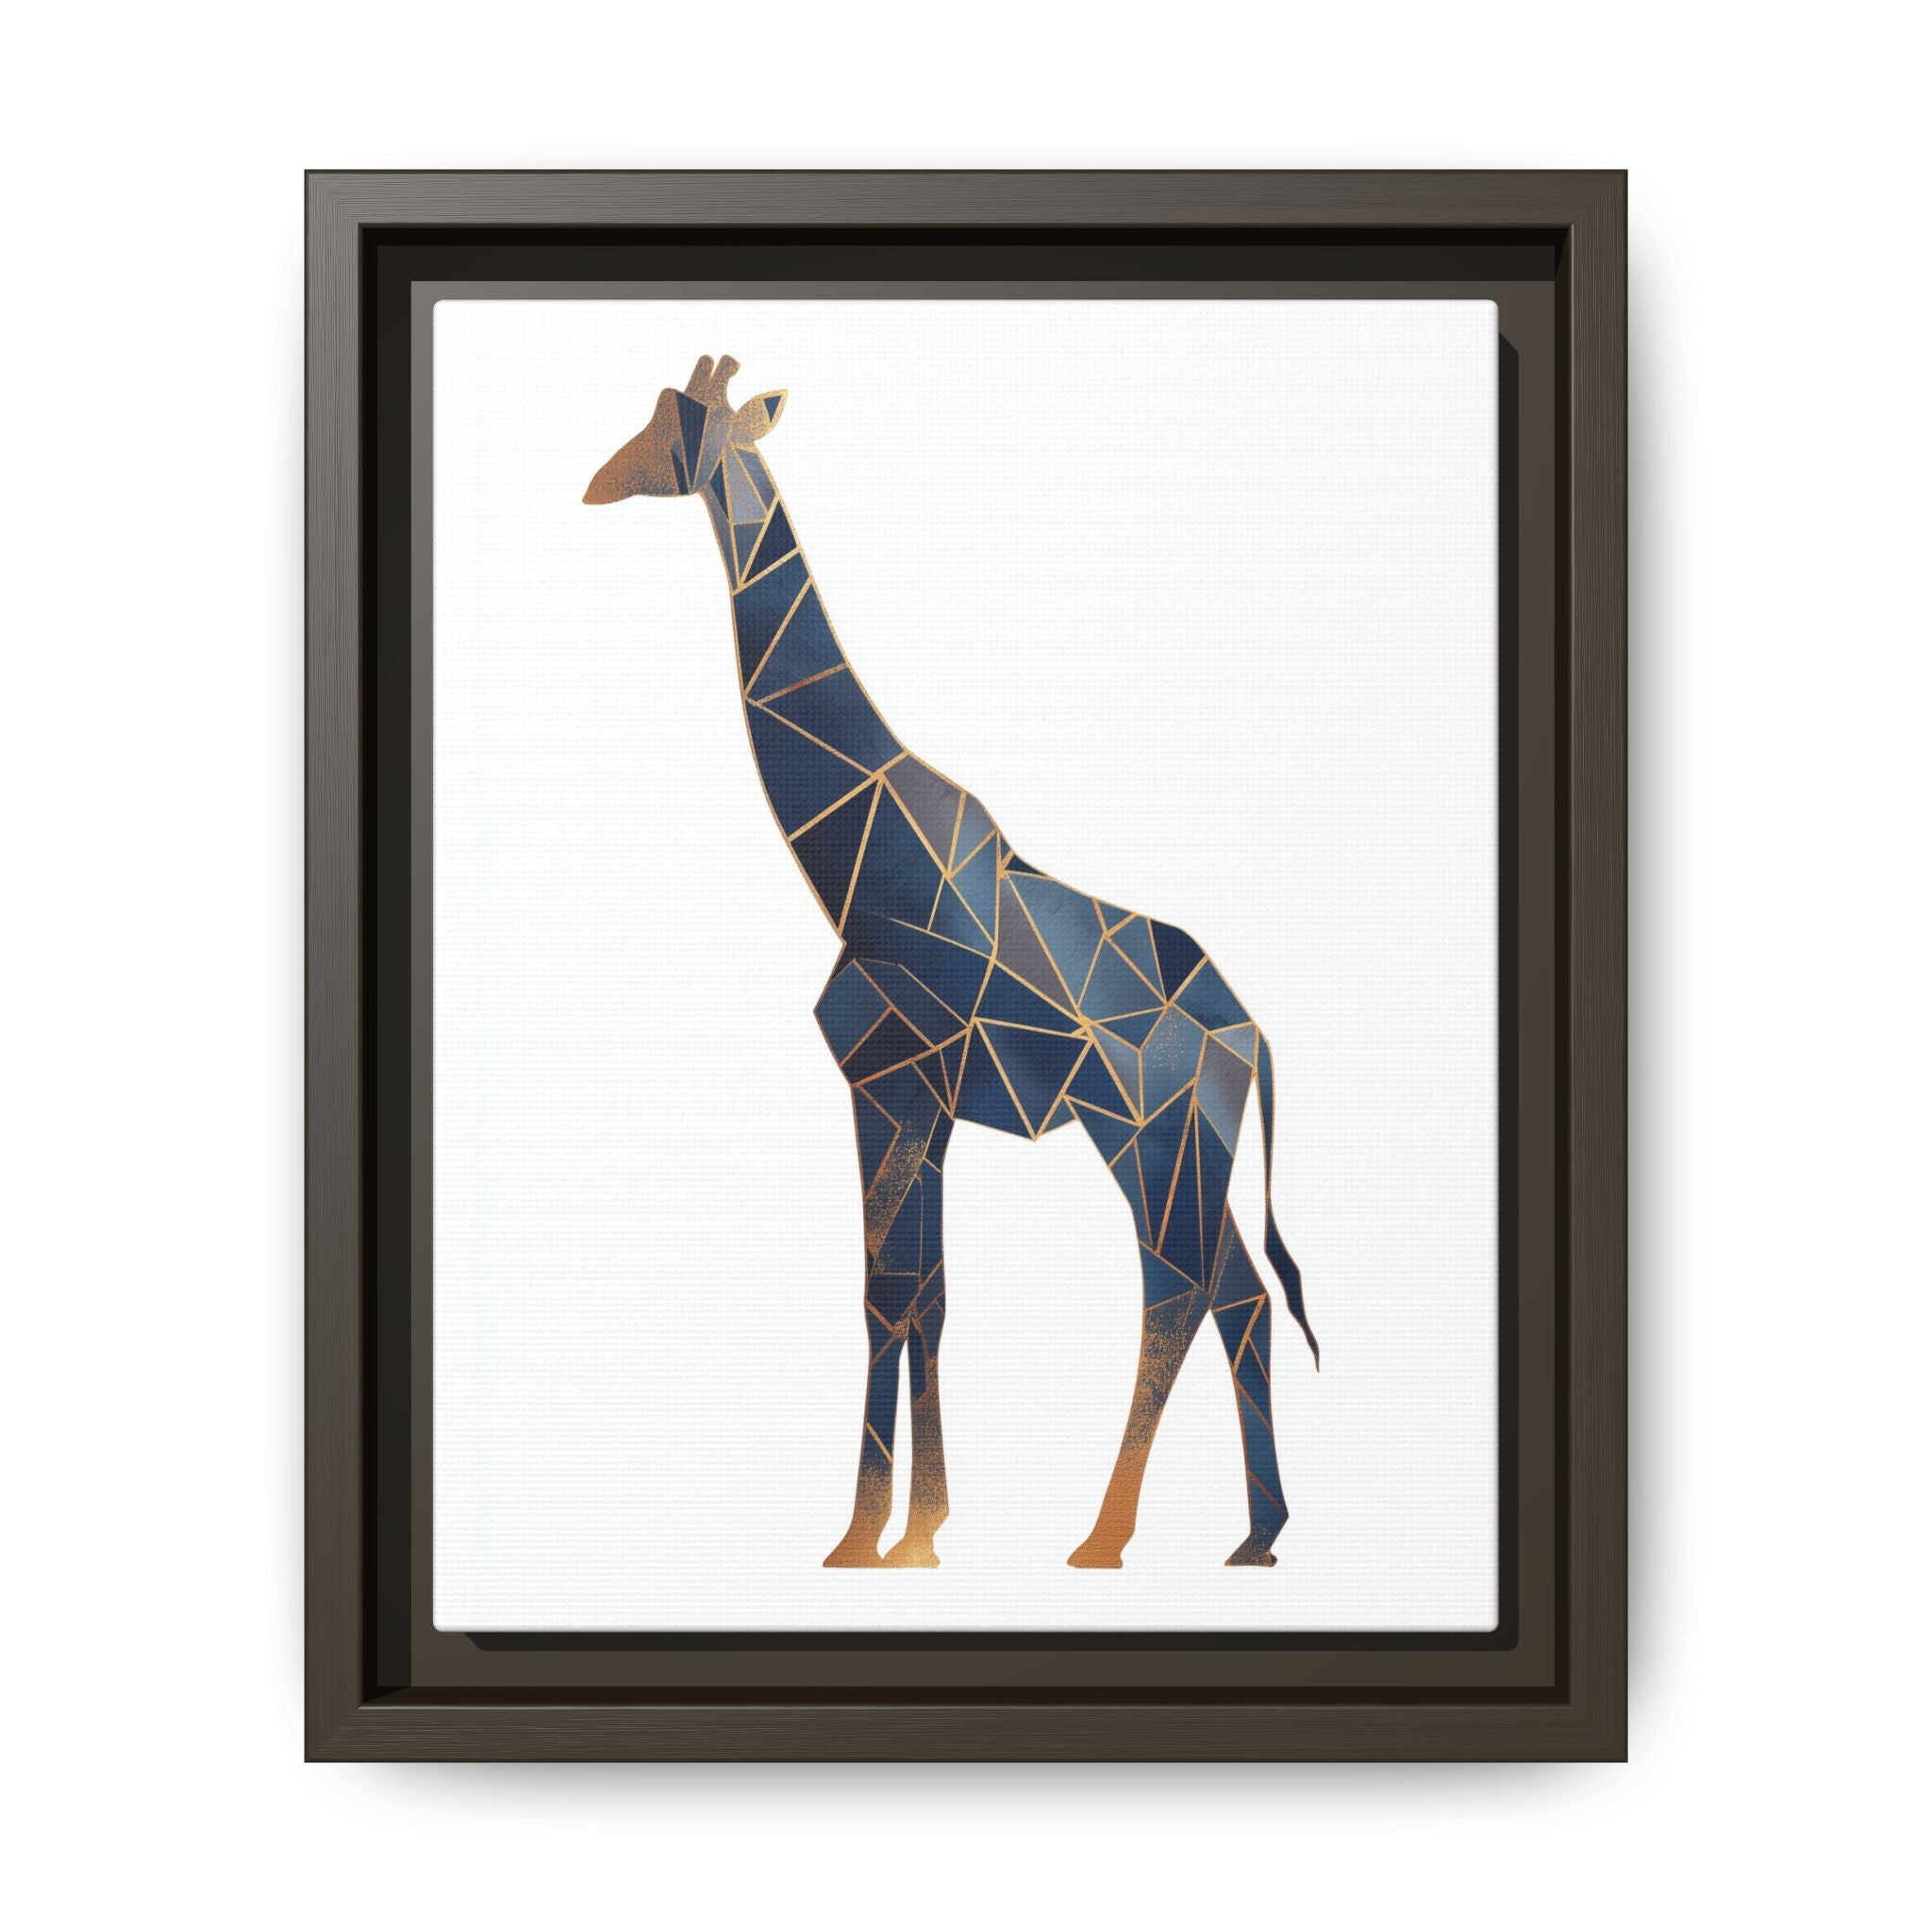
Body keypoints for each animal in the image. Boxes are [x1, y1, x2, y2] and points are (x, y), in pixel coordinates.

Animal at [585, 355, 1318, 1570]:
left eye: (677, 428)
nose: (598, 481)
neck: (856, 863)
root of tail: (1250, 1034)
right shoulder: (914, 1102)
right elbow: (919, 1294)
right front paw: (906, 1530)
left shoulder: (888, 1084)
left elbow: (889, 1294)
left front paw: (874, 1536)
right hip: (1179, 1145)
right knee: (1236, 1294)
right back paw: (1253, 1534)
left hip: (1147, 1135)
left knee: (1179, 1289)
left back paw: (1106, 1537)